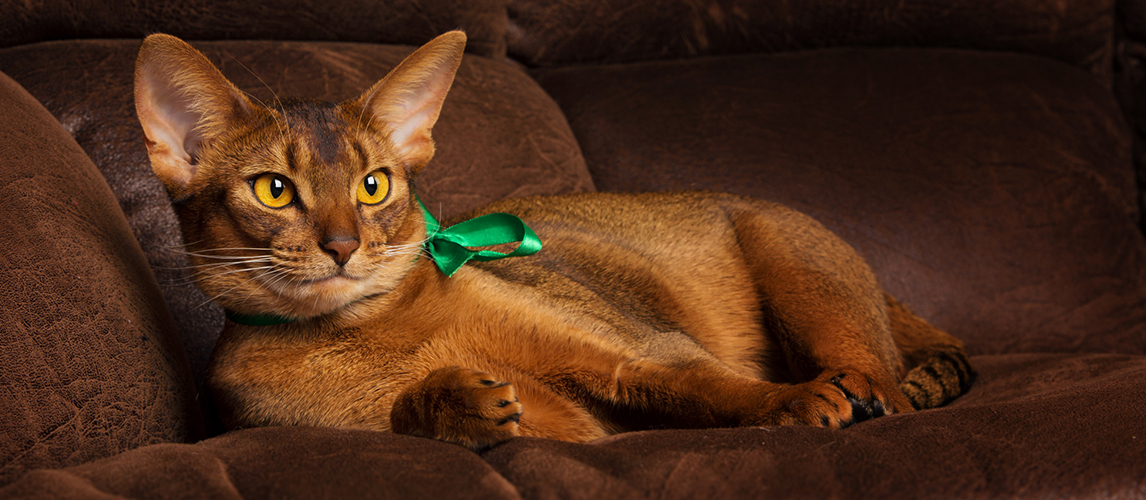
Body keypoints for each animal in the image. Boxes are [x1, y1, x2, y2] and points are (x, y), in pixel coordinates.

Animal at [134, 33, 976, 451]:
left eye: (374, 185)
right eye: (274, 190)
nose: (343, 246)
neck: (364, 330)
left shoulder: (639, 355)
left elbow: (717, 388)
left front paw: (793, 401)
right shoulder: (574, 430)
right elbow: (436, 412)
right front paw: (449, 401)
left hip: (793, 262)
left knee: (888, 387)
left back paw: (853, 392)